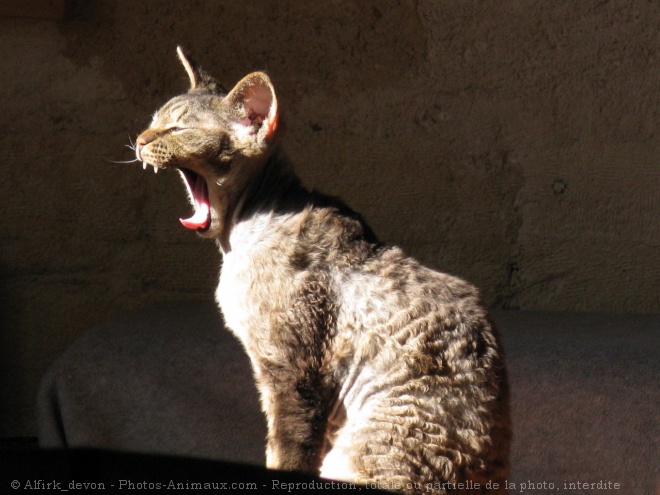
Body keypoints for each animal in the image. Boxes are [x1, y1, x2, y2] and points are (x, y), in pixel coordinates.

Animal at [130, 45, 510, 492]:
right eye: (154, 120)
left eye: (177, 128)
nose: (139, 140)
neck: (240, 237)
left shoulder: (292, 372)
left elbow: (287, 453)